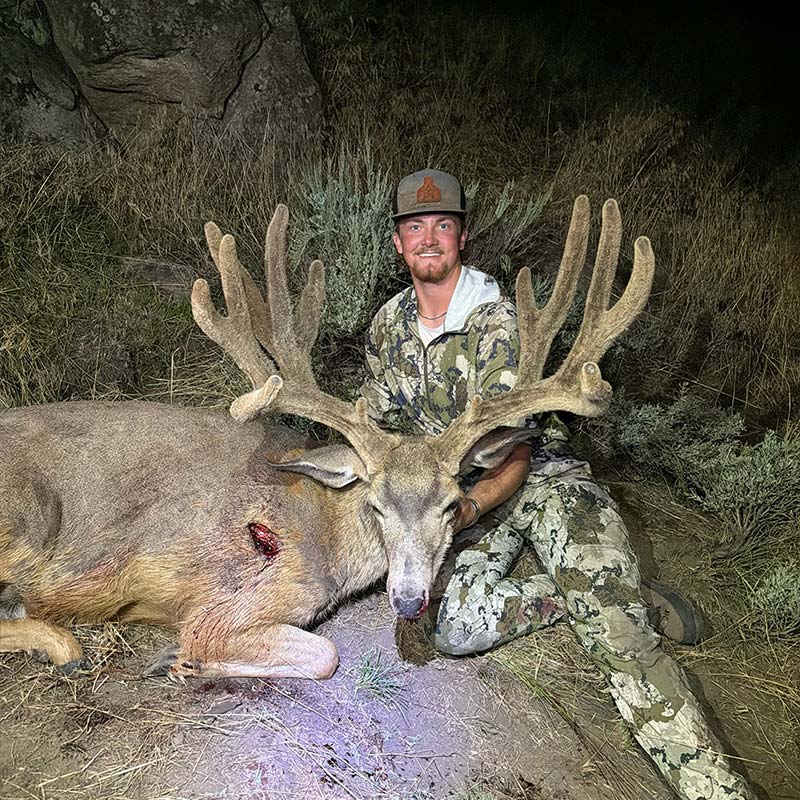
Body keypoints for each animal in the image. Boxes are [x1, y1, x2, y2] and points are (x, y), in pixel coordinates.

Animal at [0, 196, 654, 681]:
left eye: (452, 505)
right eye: (376, 505)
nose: (409, 600)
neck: (323, 527)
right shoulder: (228, 602)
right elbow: (322, 654)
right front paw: (181, 661)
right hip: (27, 515)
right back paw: (61, 644)